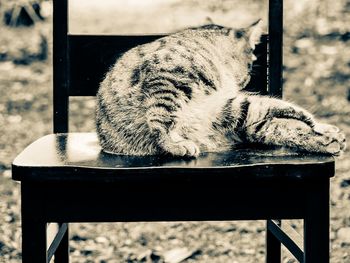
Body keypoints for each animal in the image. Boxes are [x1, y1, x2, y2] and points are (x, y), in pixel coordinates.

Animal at [95, 20, 344, 158]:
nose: (246, 79)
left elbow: (281, 115)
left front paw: (324, 131)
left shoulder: (230, 107)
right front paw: (174, 144)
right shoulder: (165, 76)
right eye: (252, 60)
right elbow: (160, 120)